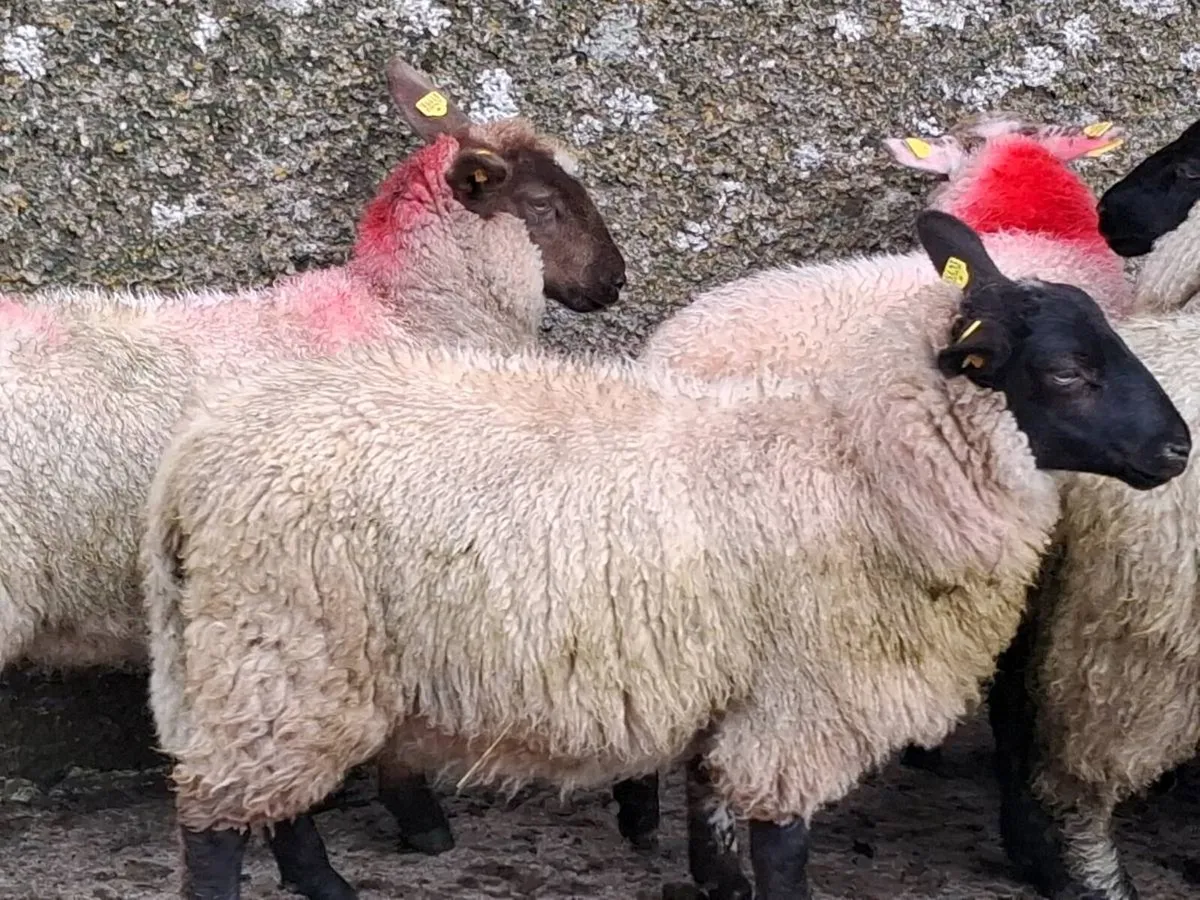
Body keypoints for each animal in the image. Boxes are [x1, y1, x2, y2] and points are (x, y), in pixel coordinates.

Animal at [140, 210, 1190, 900]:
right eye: (1067, 372)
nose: (1180, 450)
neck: (854, 468)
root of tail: (193, 463)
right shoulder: (796, 706)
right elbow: (781, 854)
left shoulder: (738, 700)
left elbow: (720, 843)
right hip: (280, 650)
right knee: (216, 824)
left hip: (279, 666)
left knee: (271, 803)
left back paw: (326, 887)